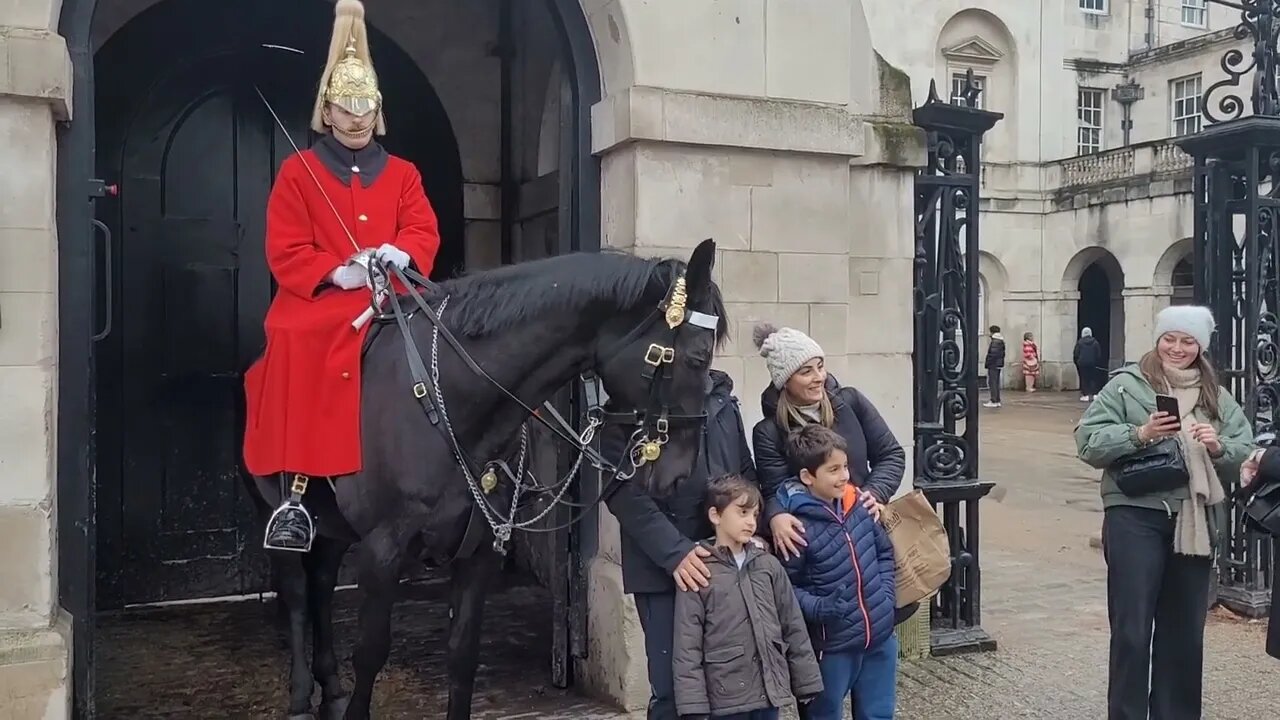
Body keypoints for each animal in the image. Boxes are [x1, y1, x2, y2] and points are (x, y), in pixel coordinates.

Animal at [247, 239, 732, 717]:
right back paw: (300, 698)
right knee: (296, 592)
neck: (451, 403)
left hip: (334, 527)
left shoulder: (477, 550)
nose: (679, 476)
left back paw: (329, 687)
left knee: (321, 585)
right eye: (698, 356)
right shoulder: (383, 550)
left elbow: (463, 656)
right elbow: (370, 653)